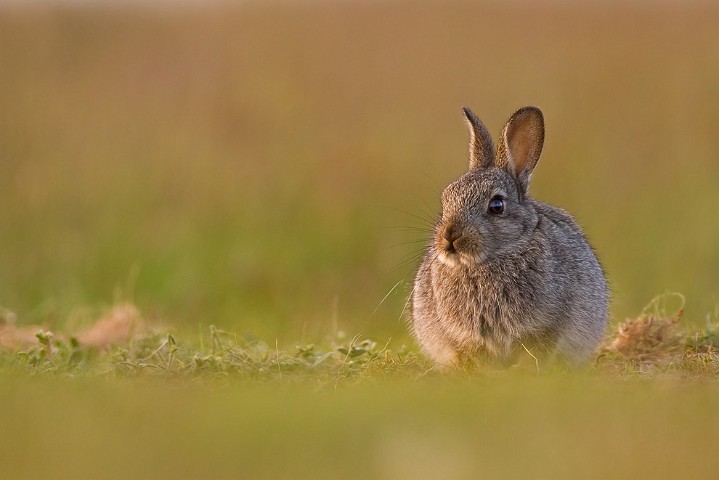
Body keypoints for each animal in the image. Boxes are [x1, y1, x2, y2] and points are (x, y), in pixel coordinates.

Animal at [414, 106, 612, 368]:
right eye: (446, 199)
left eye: (497, 205)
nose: (449, 236)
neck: (486, 262)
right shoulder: (463, 336)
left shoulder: (547, 326)